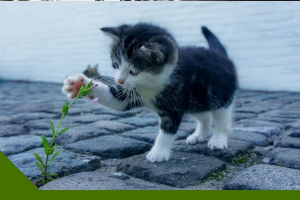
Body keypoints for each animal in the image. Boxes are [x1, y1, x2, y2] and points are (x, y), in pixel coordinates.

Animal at [62, 22, 238, 162]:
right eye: (116, 65)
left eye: (134, 72)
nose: (119, 80)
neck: (152, 84)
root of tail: (221, 56)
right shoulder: (132, 93)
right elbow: (116, 100)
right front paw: (80, 85)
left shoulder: (175, 102)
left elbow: (167, 130)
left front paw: (158, 153)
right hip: (197, 100)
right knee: (205, 116)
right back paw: (199, 135)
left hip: (221, 96)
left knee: (222, 119)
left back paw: (218, 140)